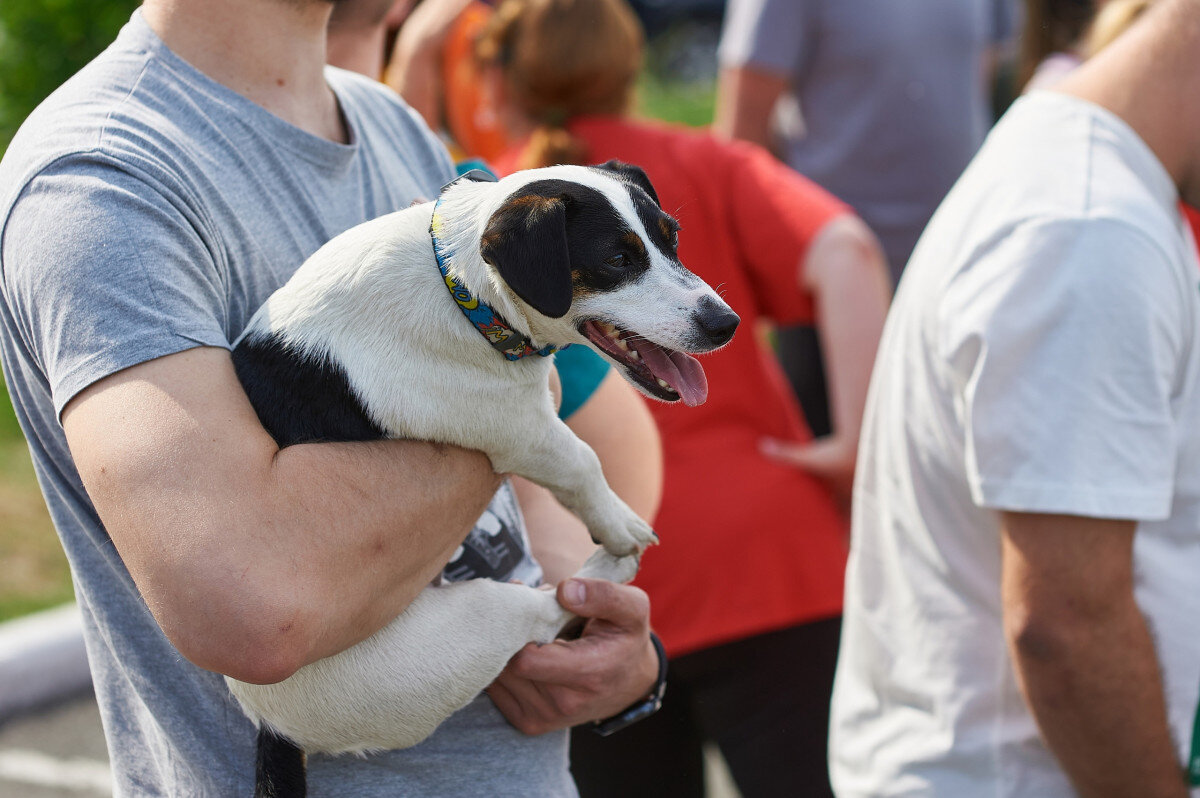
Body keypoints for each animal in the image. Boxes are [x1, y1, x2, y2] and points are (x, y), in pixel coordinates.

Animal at [220, 163, 734, 796]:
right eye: (617, 258)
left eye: (673, 239)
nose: (727, 324)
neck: (461, 289)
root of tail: (271, 726)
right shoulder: (523, 431)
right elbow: (583, 462)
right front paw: (618, 525)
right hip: (479, 619)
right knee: (548, 611)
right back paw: (609, 568)